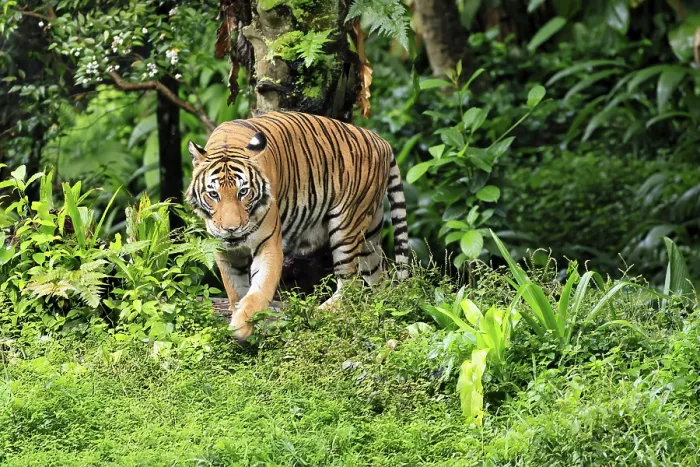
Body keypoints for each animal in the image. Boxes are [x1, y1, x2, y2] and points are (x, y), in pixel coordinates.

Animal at [185, 110, 410, 341]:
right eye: (214, 194)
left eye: (243, 192)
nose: (231, 229)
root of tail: (381, 141)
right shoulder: (224, 251)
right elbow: (235, 290)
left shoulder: (268, 245)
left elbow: (259, 290)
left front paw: (242, 325)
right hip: (370, 235)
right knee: (377, 280)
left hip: (346, 225)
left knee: (350, 285)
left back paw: (315, 314)